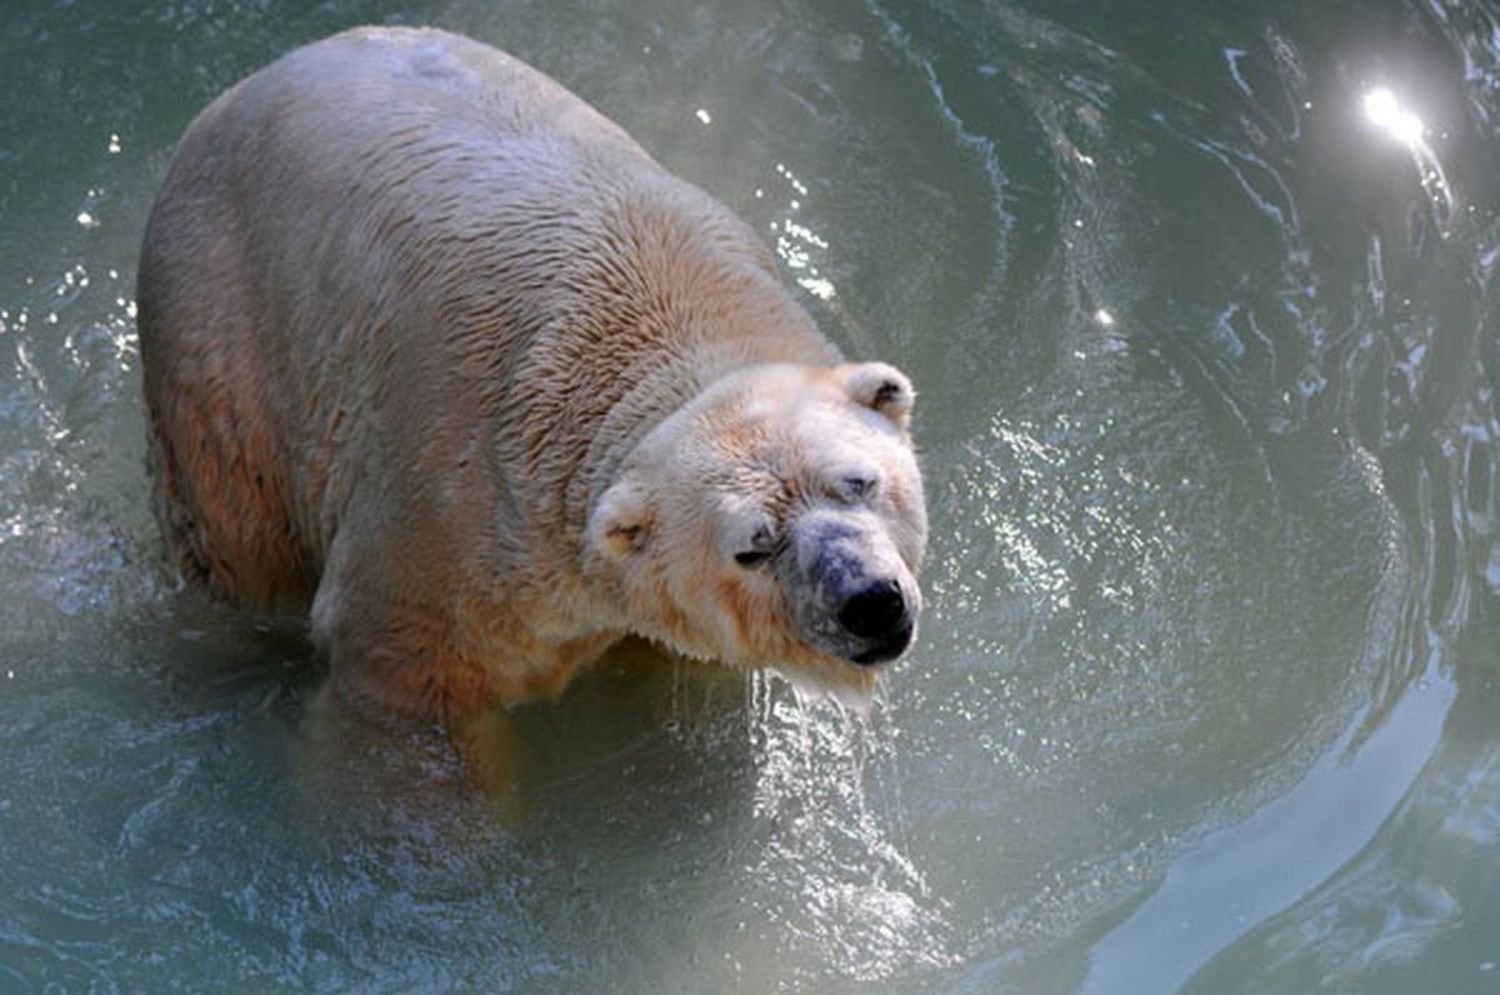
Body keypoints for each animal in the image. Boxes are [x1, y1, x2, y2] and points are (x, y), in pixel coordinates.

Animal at [138, 25, 924, 723]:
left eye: (859, 481)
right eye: (751, 548)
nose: (868, 601)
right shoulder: (449, 517)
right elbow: (403, 674)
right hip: (225, 343)